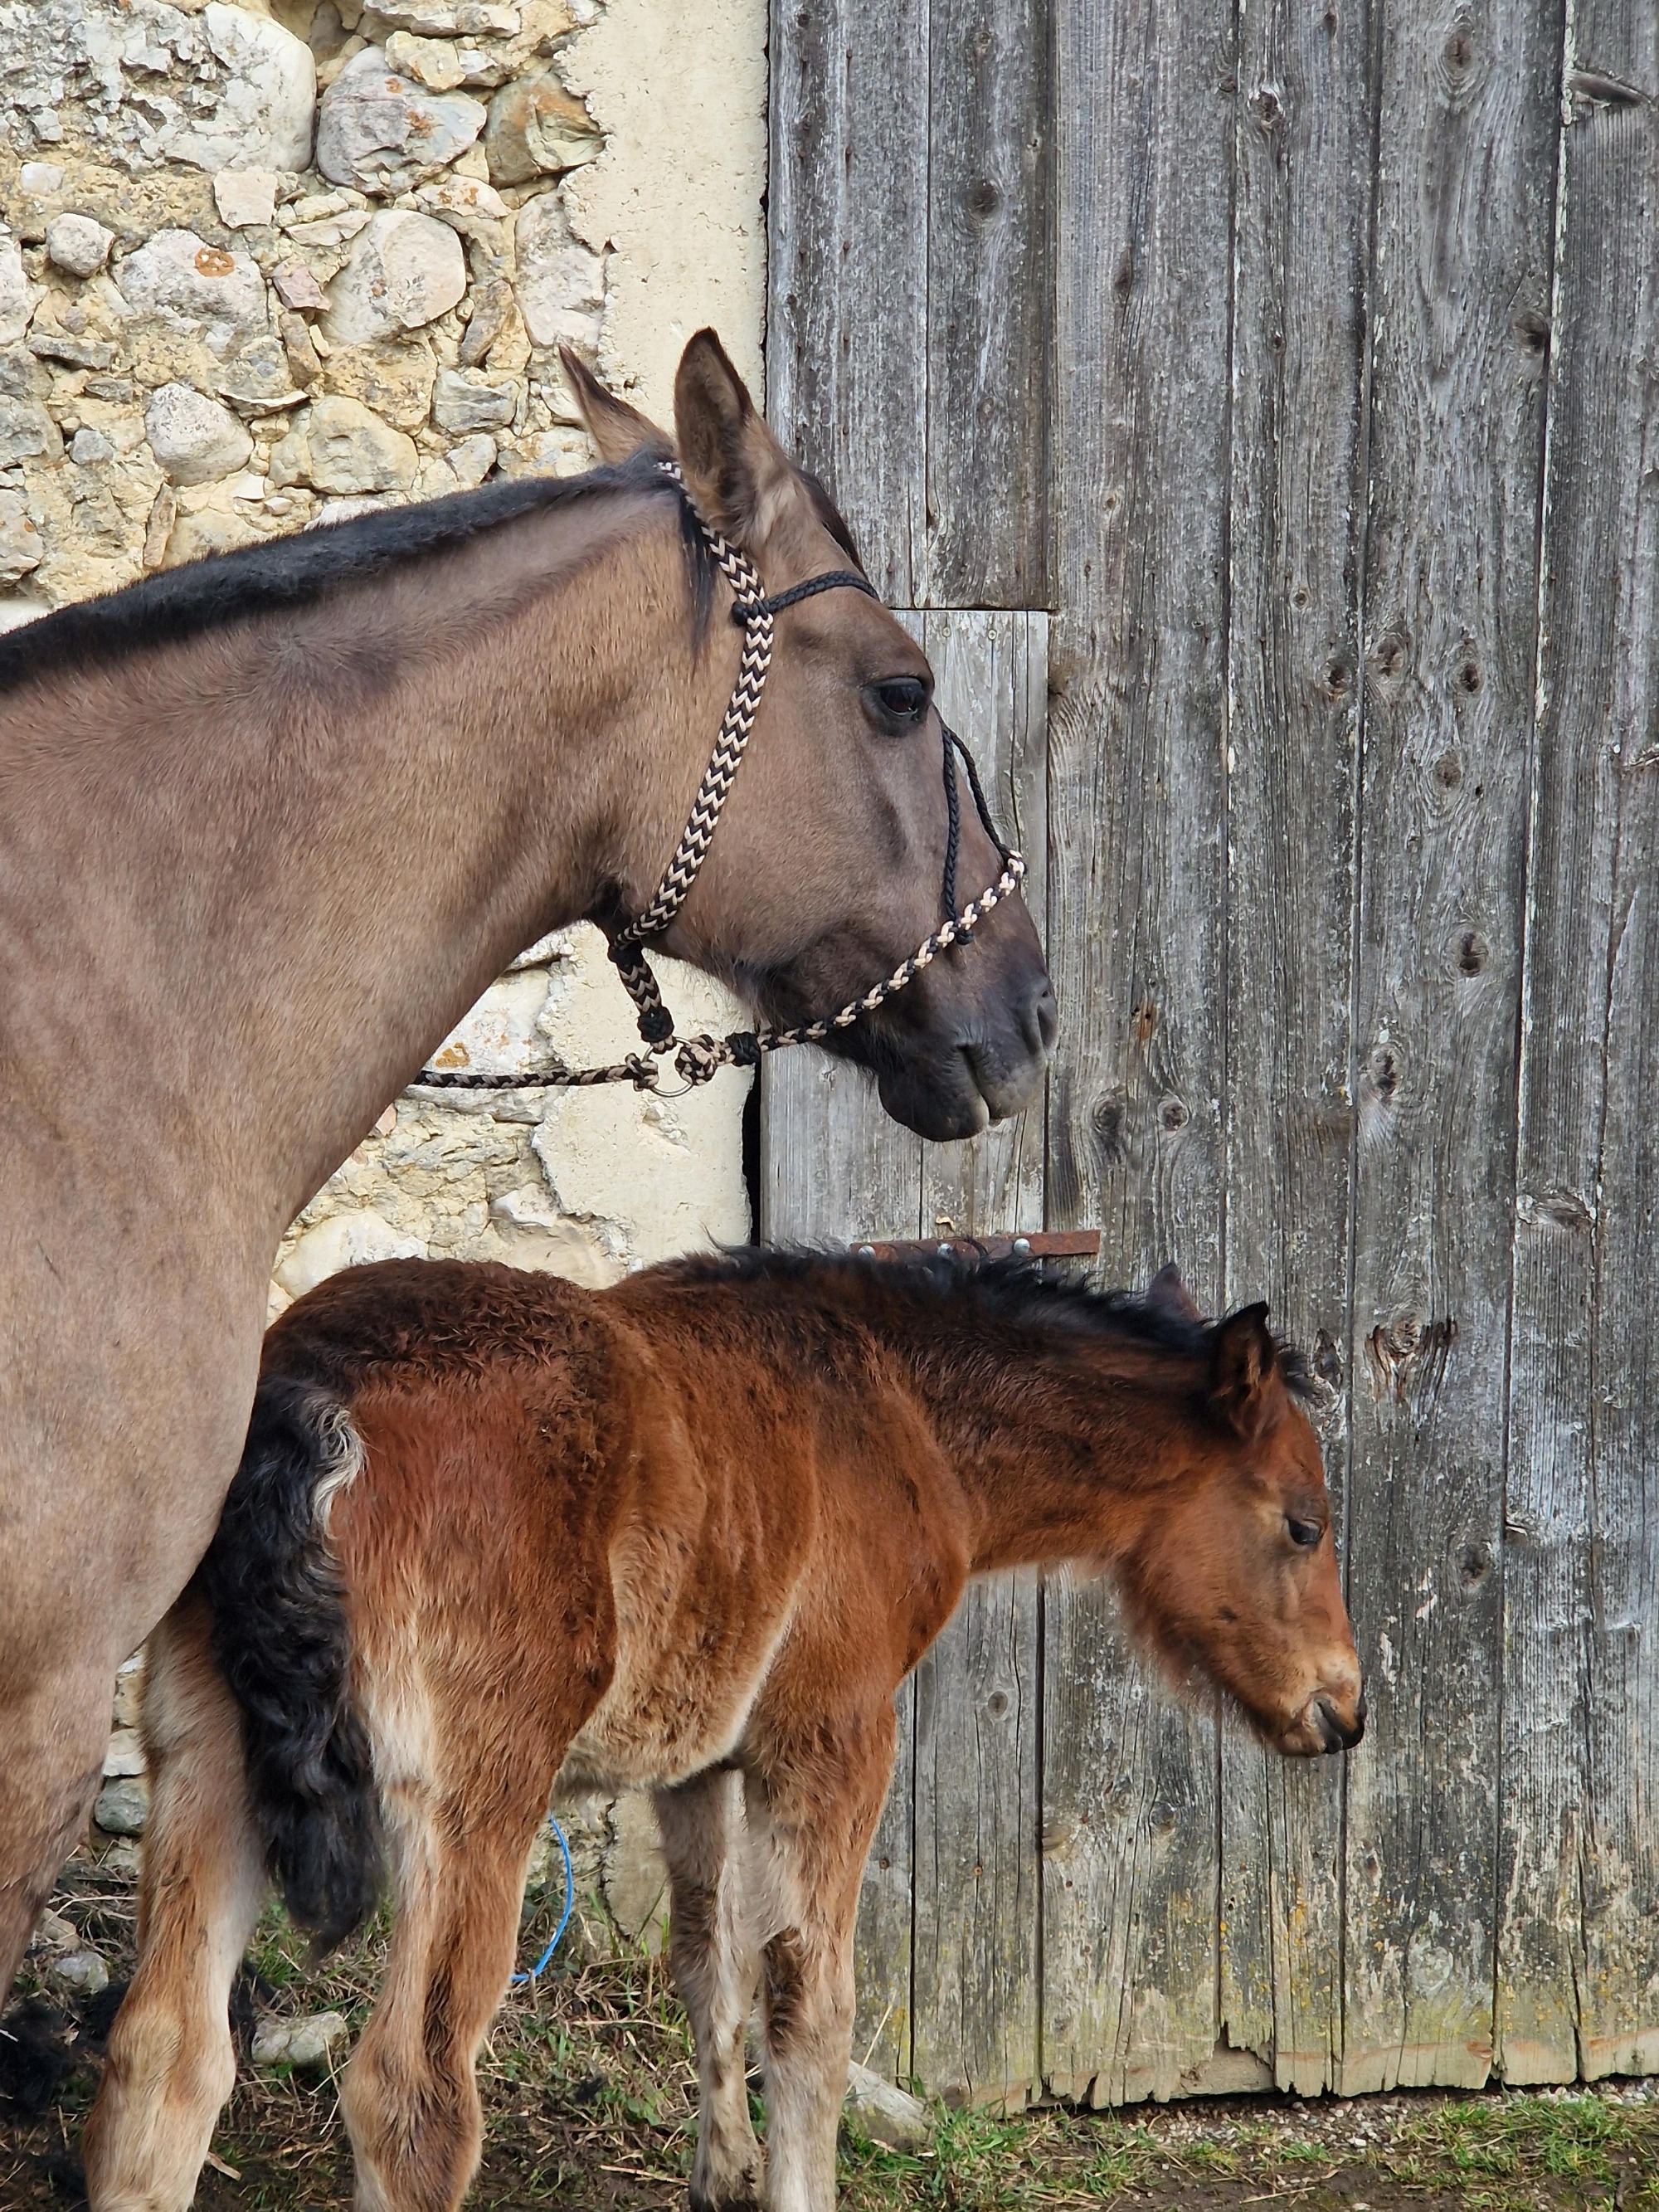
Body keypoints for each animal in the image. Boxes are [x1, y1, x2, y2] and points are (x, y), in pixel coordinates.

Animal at [86, 1249, 1364, 2212]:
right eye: (1303, 1522)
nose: (1343, 1710)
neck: (893, 1411)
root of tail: (315, 1386)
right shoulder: (834, 1735)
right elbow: (811, 2004)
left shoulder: (694, 1761)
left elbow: (711, 1964)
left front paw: (726, 2171)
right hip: (474, 1802)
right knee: (411, 2097)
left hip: (205, 1765)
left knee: (164, 2057)